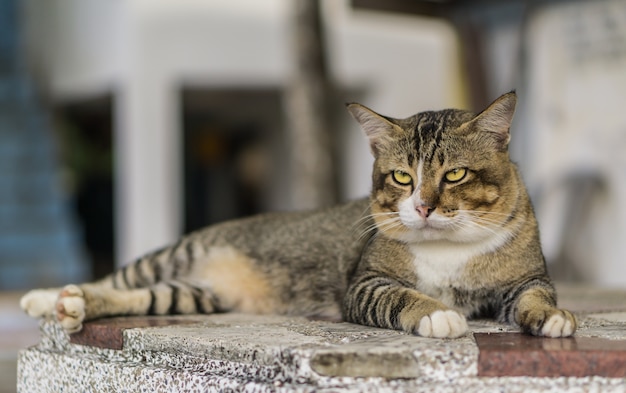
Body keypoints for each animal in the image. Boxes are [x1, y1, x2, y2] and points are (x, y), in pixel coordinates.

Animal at [19, 91, 576, 336]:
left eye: (455, 175)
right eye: (402, 177)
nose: (421, 206)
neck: (448, 249)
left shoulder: (526, 278)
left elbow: (536, 297)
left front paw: (552, 318)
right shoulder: (364, 284)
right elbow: (403, 296)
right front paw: (437, 314)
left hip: (195, 294)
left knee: (139, 297)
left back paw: (74, 306)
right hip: (176, 253)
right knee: (116, 279)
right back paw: (50, 299)